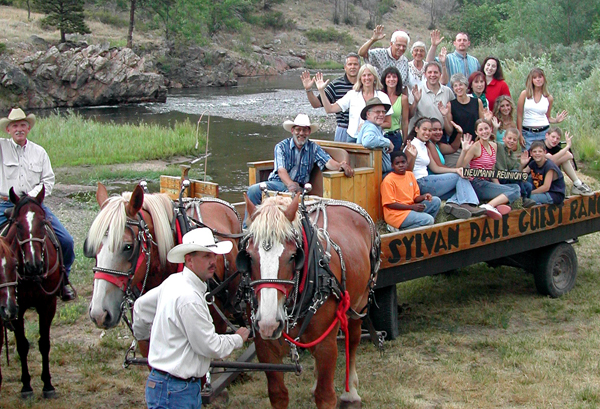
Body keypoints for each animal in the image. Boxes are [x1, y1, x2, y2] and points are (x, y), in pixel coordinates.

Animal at [2, 186, 64, 396]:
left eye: (43, 222)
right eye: (18, 225)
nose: (34, 264)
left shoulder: (48, 305)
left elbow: (44, 343)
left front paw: (48, 384)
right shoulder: (17, 309)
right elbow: (22, 345)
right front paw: (26, 386)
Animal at [239, 194, 380, 408]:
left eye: (292, 256)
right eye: (249, 256)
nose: (269, 324)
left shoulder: (326, 345)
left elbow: (325, 396)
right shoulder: (265, 348)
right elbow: (278, 394)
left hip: (360, 302)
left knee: (353, 340)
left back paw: (351, 392)